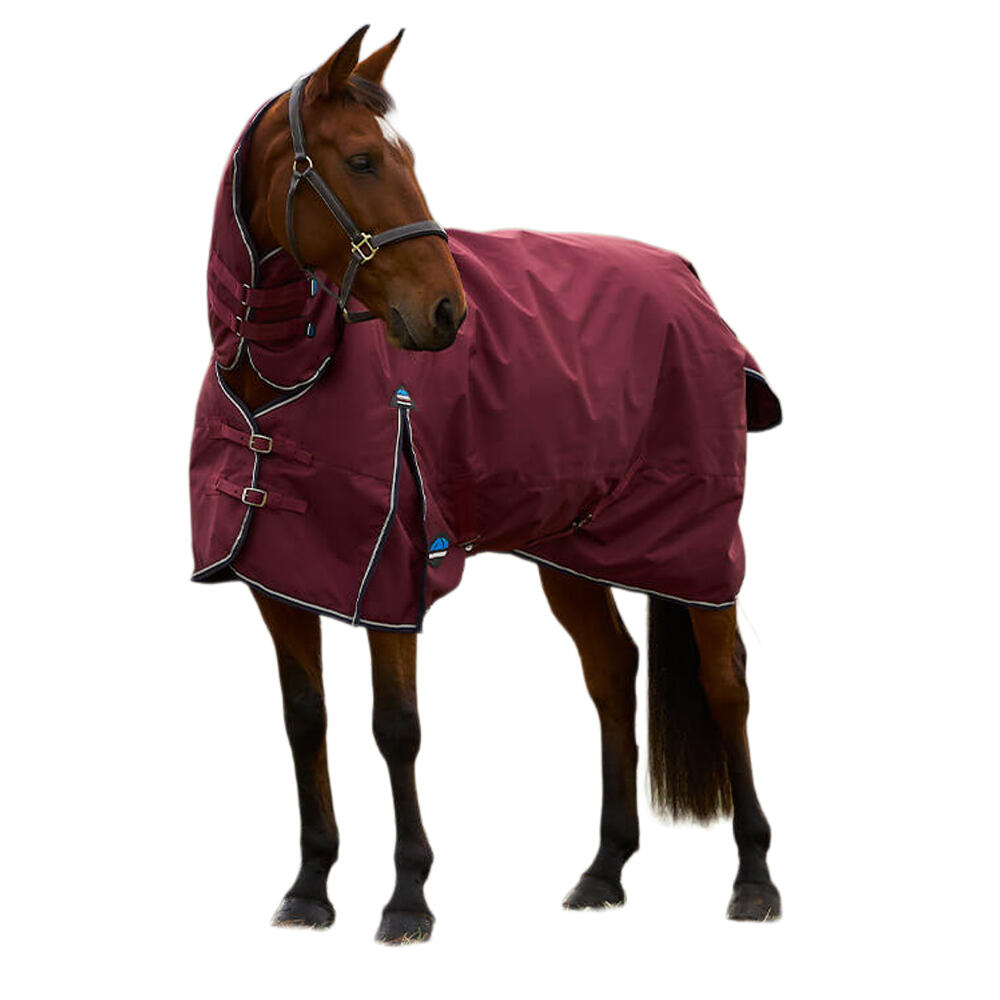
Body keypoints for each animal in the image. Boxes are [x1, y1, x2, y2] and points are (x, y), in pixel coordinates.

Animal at [192, 25, 782, 943]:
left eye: (402, 157)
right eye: (362, 160)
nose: (447, 312)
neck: (290, 373)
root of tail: (687, 278)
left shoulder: (389, 576)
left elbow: (395, 727)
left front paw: (407, 898)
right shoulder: (281, 578)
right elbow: (304, 720)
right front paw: (310, 888)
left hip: (697, 546)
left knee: (727, 686)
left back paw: (754, 878)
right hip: (573, 552)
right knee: (613, 673)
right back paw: (603, 871)